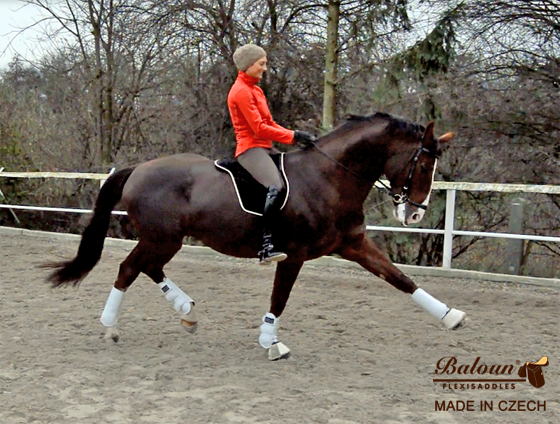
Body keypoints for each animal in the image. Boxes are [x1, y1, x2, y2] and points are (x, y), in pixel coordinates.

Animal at [42, 112, 464, 362]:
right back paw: (111, 327)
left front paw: (452, 316)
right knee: (129, 269)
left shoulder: (353, 244)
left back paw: (185, 310)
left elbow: (399, 278)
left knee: (148, 268)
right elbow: (280, 298)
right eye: (423, 165)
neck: (329, 178)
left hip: (167, 240)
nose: (414, 214)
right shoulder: (294, 254)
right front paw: (271, 342)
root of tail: (139, 168)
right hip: (161, 238)